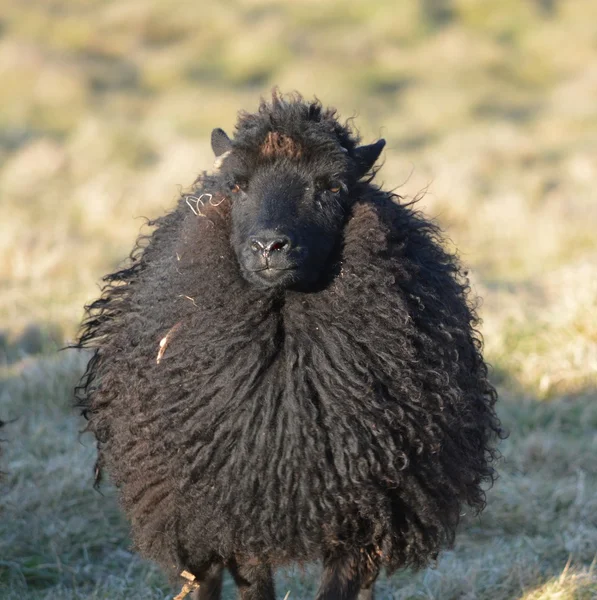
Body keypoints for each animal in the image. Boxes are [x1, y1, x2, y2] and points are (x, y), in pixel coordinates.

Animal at [77, 90, 500, 600]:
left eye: (332, 186)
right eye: (237, 185)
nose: (269, 247)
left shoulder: (364, 508)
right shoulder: (236, 504)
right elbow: (253, 585)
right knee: (202, 576)